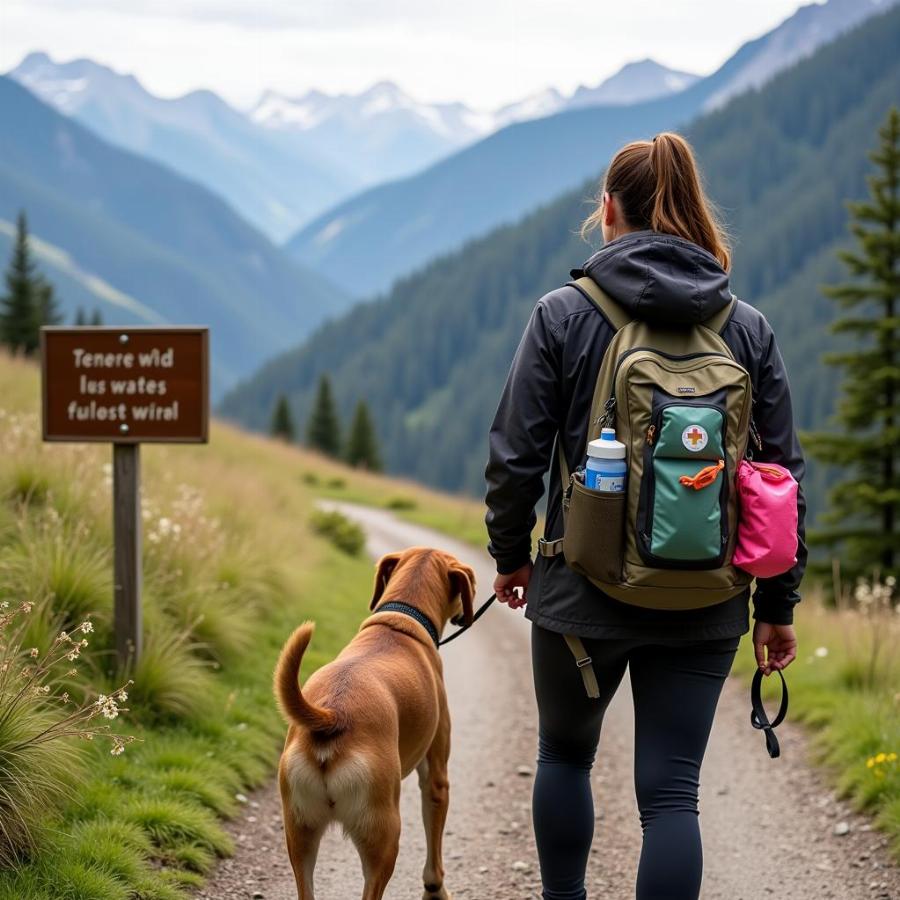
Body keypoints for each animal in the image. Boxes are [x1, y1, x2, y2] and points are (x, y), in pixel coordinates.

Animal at [272, 544, 474, 896]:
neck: (402, 616)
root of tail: (332, 714)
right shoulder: (436, 778)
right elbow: (434, 856)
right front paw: (435, 889)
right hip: (385, 838)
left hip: (299, 835)